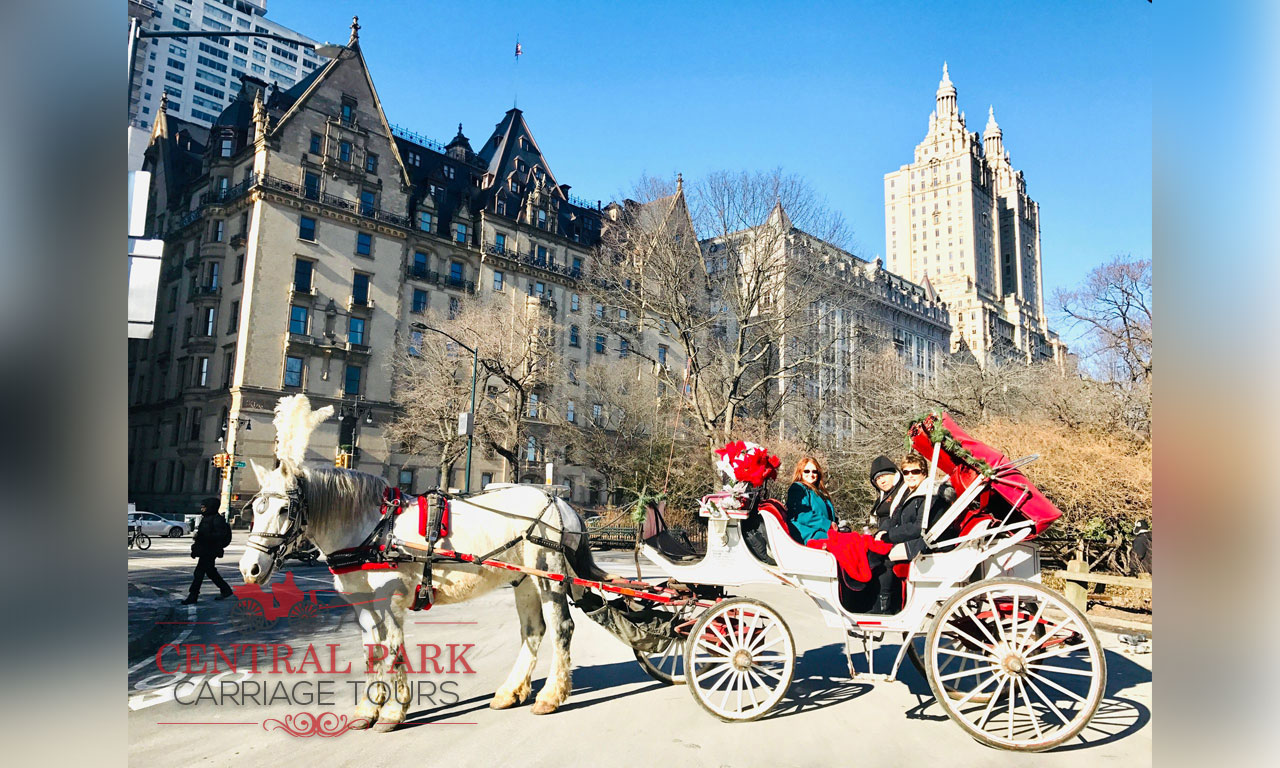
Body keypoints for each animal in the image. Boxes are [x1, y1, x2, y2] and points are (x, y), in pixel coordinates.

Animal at [240, 396, 609, 732]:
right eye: (254, 508)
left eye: (285, 509)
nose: (249, 569)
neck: (372, 526)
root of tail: (560, 501)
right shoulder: (362, 602)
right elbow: (373, 650)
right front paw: (368, 709)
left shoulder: (389, 600)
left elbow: (392, 649)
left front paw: (392, 711)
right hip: (525, 581)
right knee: (533, 631)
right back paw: (509, 692)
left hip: (549, 573)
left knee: (562, 628)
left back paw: (550, 696)